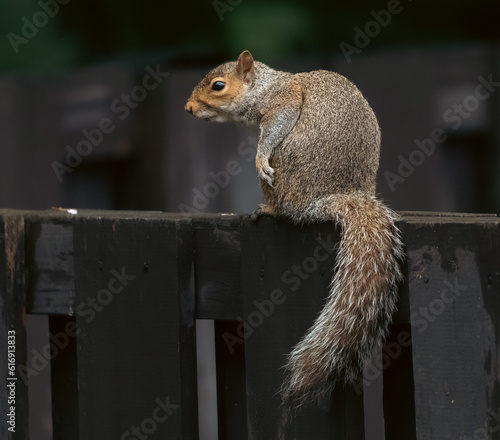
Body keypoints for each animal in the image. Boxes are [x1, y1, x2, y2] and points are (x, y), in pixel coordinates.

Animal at [186, 49, 404, 408]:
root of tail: (328, 198)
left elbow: (276, 125)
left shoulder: (282, 102)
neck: (264, 85)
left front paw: (259, 158)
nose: (188, 108)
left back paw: (268, 208)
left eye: (218, 85)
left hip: (283, 175)